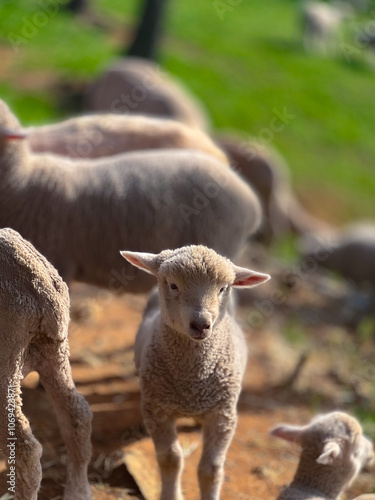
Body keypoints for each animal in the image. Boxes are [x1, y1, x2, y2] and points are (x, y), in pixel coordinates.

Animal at [120, 245, 270, 500]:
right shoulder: (157, 409)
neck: (192, 382)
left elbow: (211, 469)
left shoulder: (223, 414)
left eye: (222, 288)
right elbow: (171, 459)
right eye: (173, 285)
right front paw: (171, 495)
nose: (201, 324)